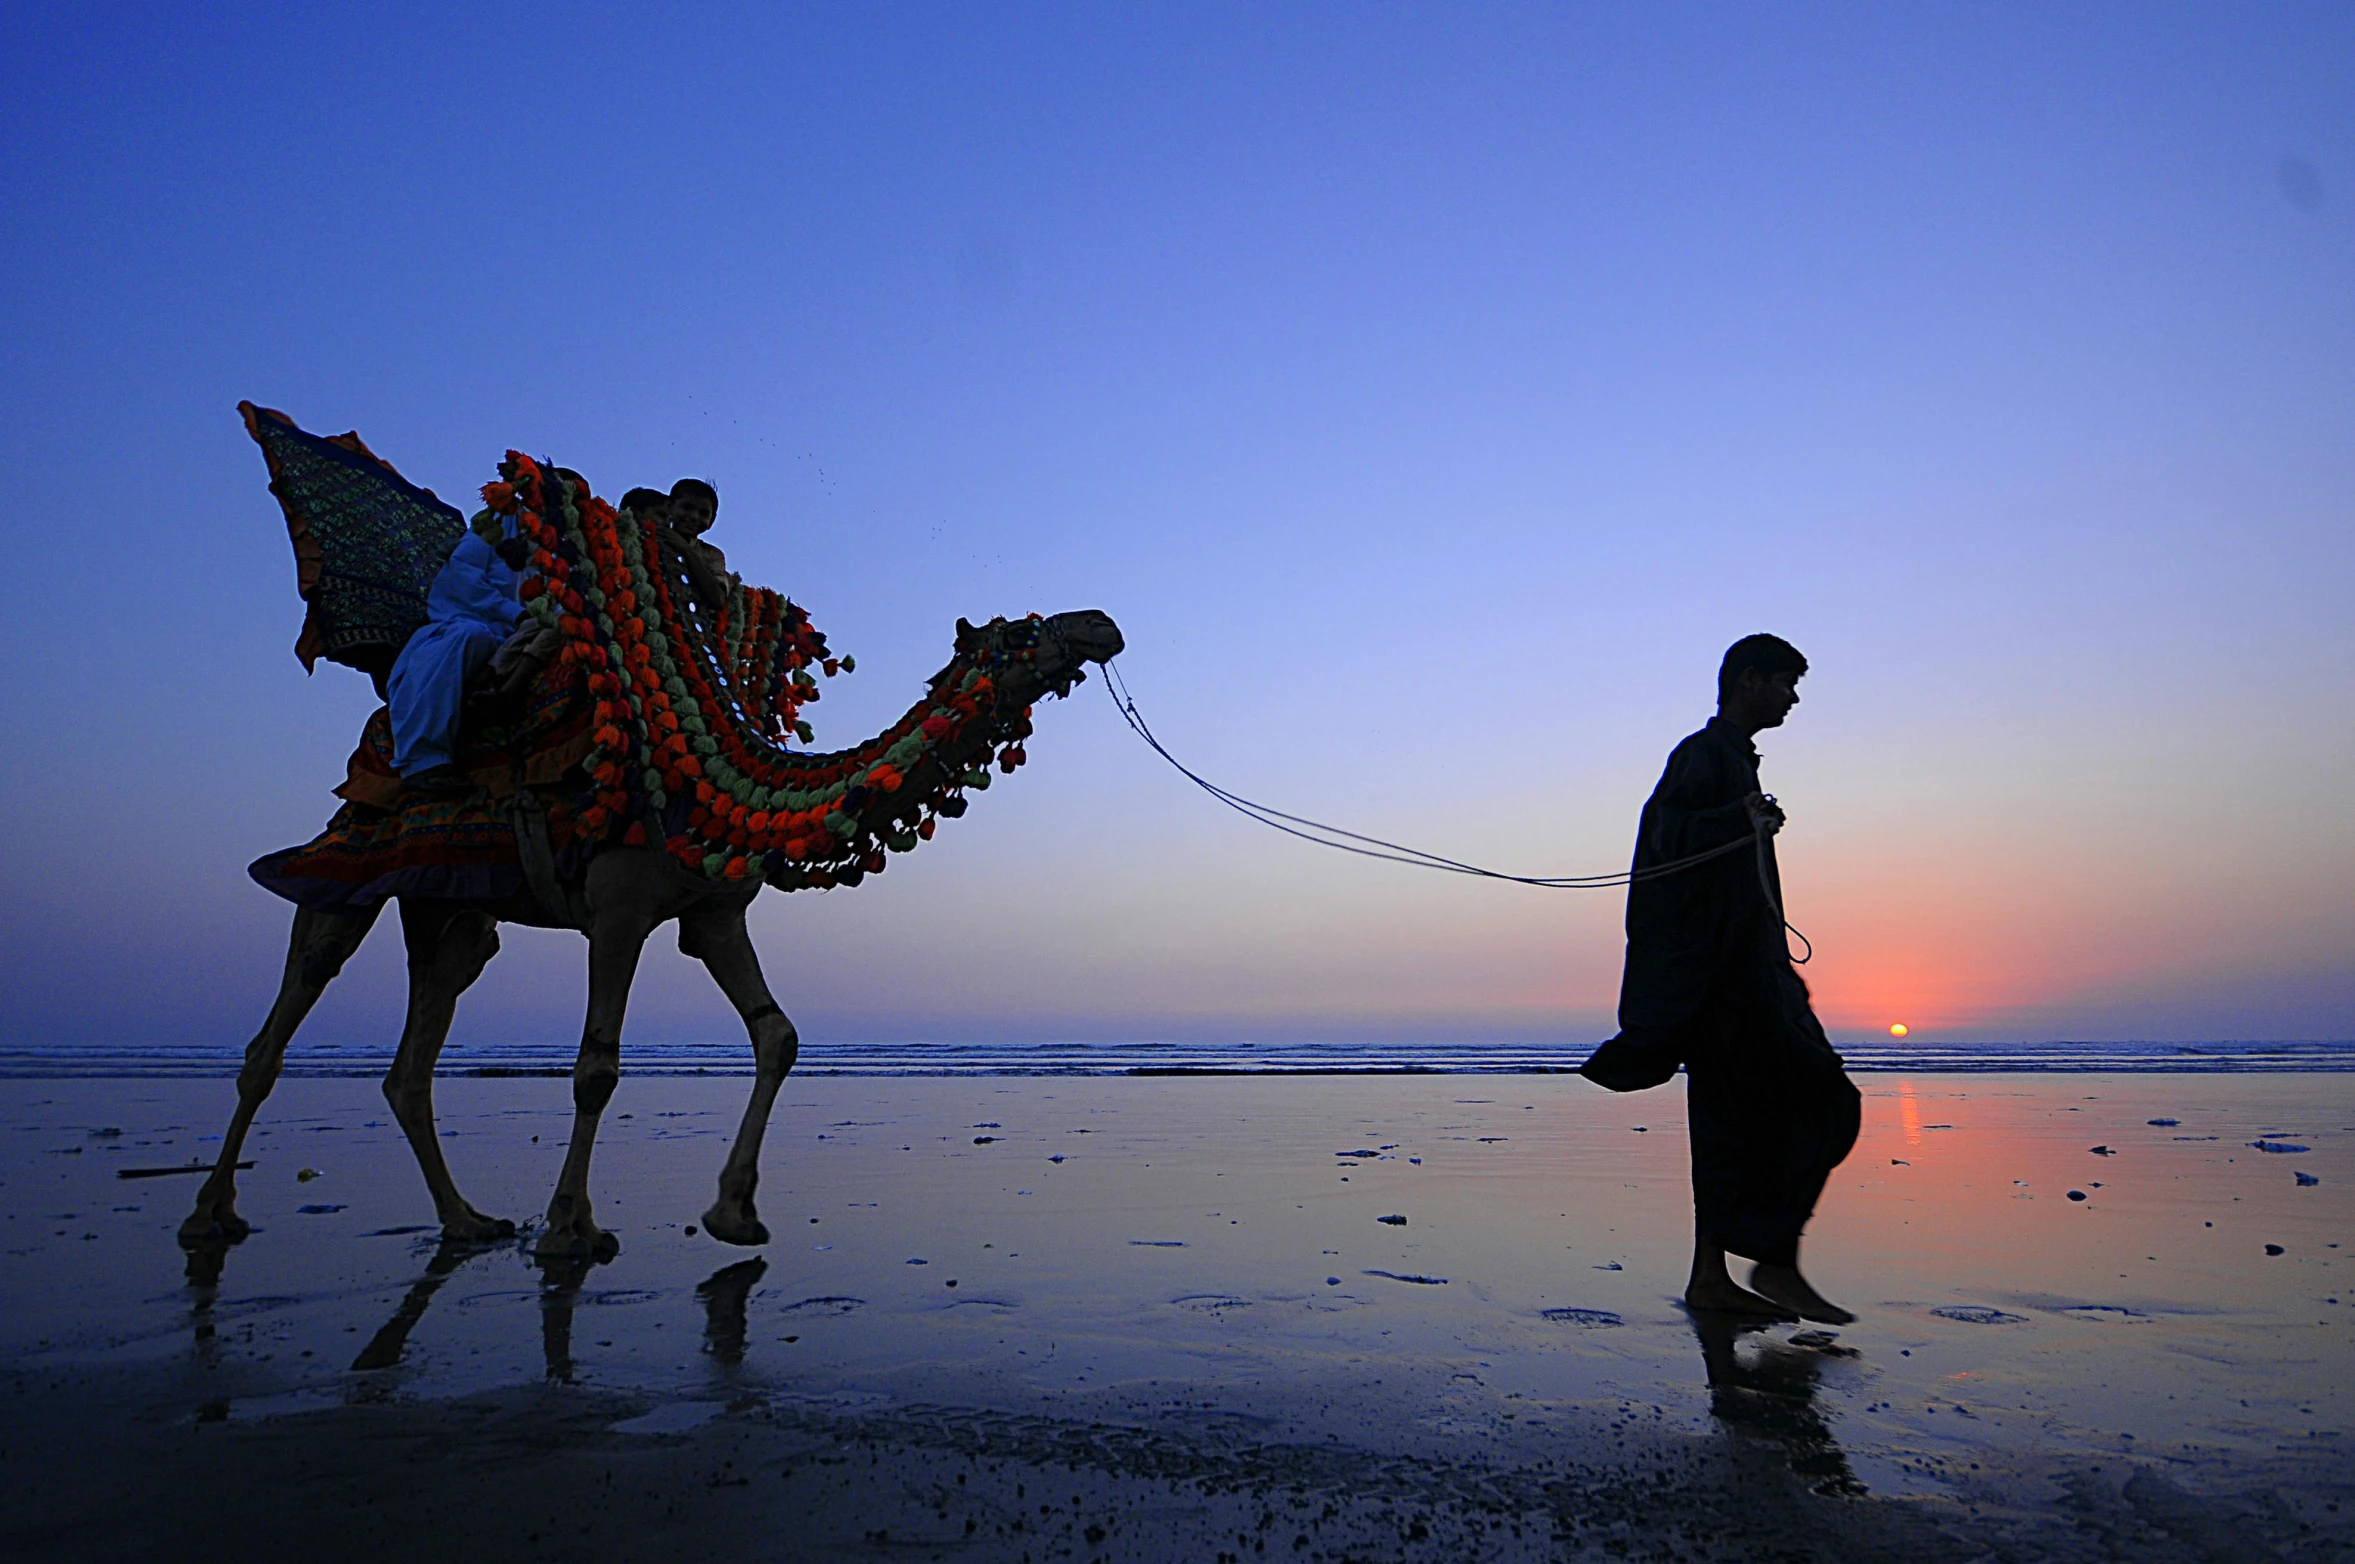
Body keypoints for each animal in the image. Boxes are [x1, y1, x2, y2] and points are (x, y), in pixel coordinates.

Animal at [178, 409, 1116, 1262]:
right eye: (1019, 630)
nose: (1100, 621)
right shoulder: (618, 907)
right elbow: (597, 1067)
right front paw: (570, 1229)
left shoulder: (712, 912)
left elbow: (778, 1035)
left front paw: (733, 1213)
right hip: (348, 859)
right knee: (281, 1021)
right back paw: (210, 1217)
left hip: (449, 908)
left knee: (413, 1058)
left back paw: (466, 1221)